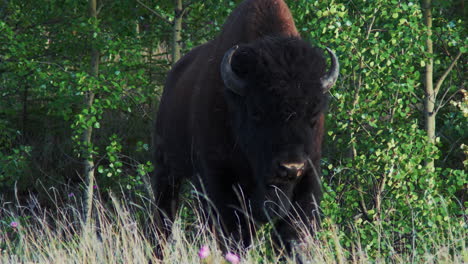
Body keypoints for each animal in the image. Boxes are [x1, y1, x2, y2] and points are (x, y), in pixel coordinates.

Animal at [152, 0, 338, 254]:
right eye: (257, 112)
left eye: (313, 114)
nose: (290, 167)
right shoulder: (220, 180)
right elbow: (235, 232)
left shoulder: (309, 176)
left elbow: (292, 233)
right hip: (167, 169)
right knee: (164, 218)